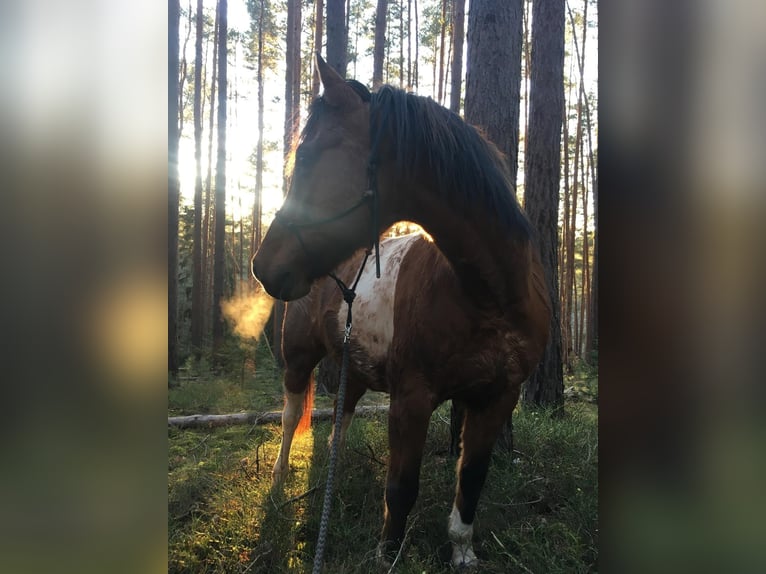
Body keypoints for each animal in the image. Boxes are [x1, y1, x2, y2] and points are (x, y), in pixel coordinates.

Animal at [252, 55, 551, 569]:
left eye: (306, 157)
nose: (262, 266)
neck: (489, 295)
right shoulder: (412, 398)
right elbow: (402, 486)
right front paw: (386, 553)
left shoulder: (498, 397)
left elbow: (471, 480)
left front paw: (462, 551)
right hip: (297, 360)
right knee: (291, 419)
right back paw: (277, 486)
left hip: (353, 368)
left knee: (340, 423)